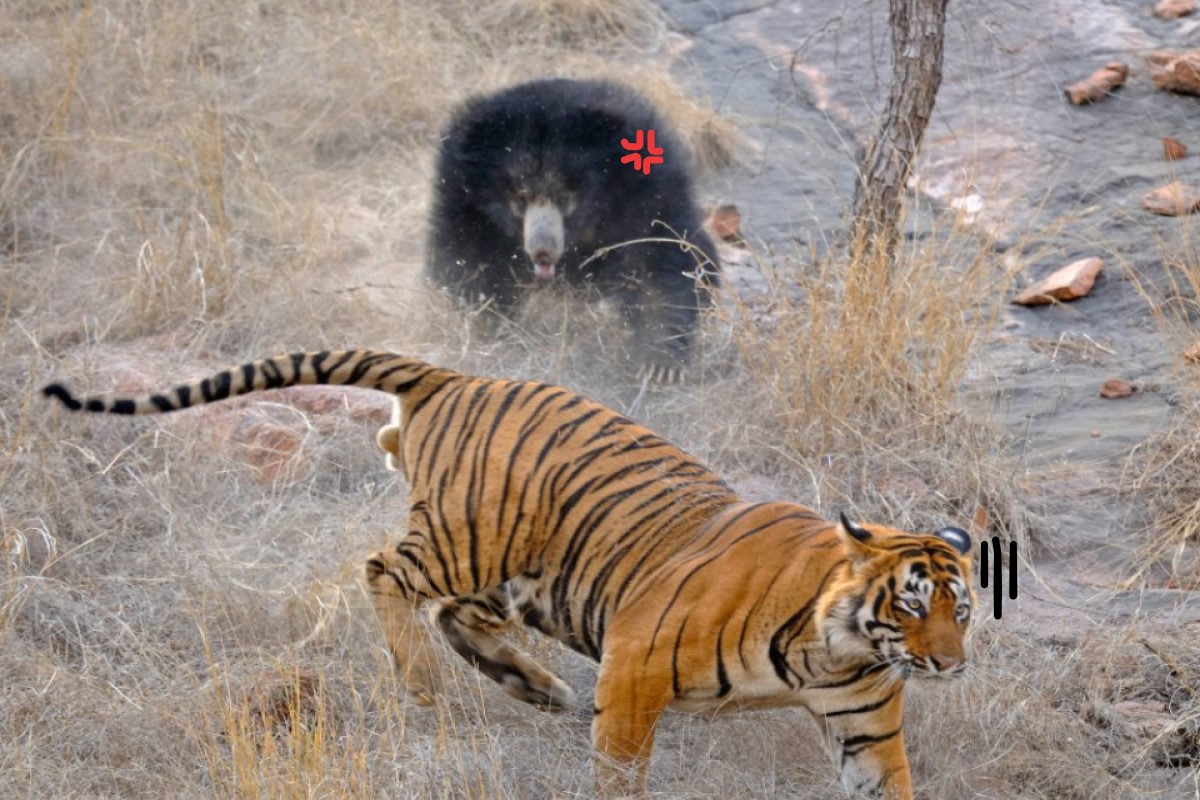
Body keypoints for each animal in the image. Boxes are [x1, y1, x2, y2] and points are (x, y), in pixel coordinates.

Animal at [43, 349, 974, 799]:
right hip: (474, 537)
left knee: (459, 614)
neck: (837, 646)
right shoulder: (634, 669)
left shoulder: (865, 726)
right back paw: (424, 683)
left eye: (962, 610)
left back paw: (535, 687)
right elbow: (619, 772)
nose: (951, 664)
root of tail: (455, 375)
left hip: (527, 573)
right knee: (384, 572)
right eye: (912, 604)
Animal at [425, 78, 720, 382]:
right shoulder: (463, 201)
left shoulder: (650, 192)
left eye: (564, 199)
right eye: (520, 199)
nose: (542, 251)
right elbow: (467, 261)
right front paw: (490, 323)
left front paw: (658, 365)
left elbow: (660, 260)